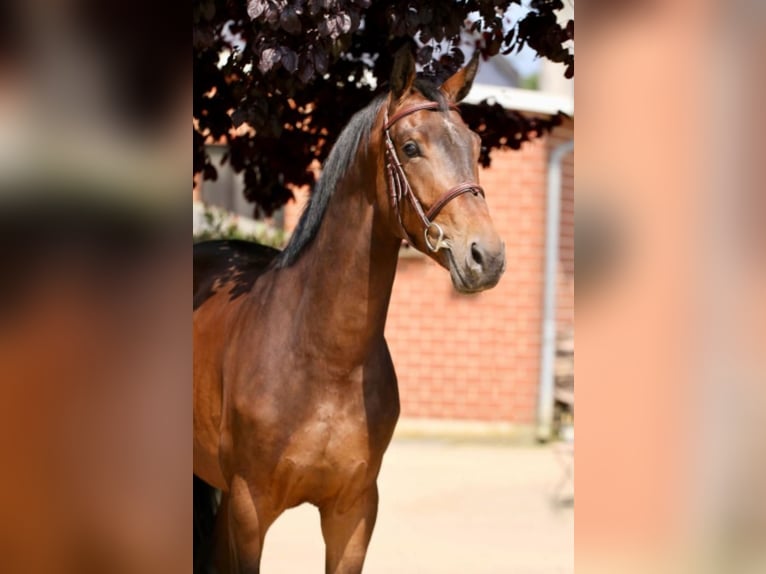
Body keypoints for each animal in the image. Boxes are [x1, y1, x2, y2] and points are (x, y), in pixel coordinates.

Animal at [194, 49, 504, 574]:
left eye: (476, 144)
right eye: (411, 147)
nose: (487, 256)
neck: (325, 361)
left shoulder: (354, 513)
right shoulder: (249, 510)